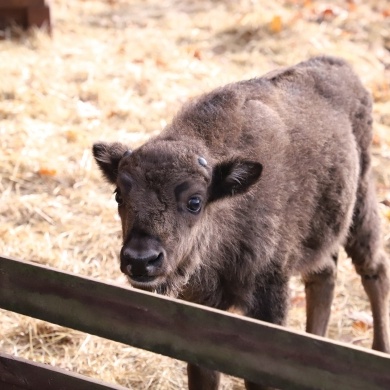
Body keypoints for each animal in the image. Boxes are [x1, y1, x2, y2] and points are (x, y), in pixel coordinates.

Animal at [93, 56, 388, 388]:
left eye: (195, 201)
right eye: (118, 195)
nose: (141, 260)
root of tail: (343, 68)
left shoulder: (269, 295)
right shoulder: (200, 306)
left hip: (361, 204)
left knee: (374, 270)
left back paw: (380, 349)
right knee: (324, 276)